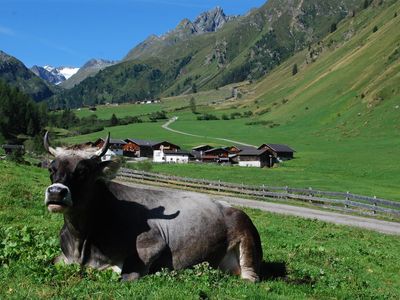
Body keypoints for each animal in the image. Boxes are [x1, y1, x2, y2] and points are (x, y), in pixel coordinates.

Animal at [43, 131, 262, 282]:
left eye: (83, 171)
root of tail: (230, 206)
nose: (56, 192)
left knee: (250, 277)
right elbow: (50, 261)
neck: (82, 239)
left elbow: (124, 276)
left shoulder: (153, 243)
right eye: (51, 169)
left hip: (246, 240)